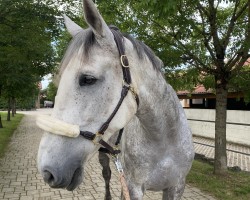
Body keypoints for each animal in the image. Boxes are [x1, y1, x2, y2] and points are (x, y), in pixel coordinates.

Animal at [36, 0, 193, 199]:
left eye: (88, 79)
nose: (47, 172)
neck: (163, 141)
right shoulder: (134, 187)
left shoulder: (176, 187)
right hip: (104, 156)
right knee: (107, 175)